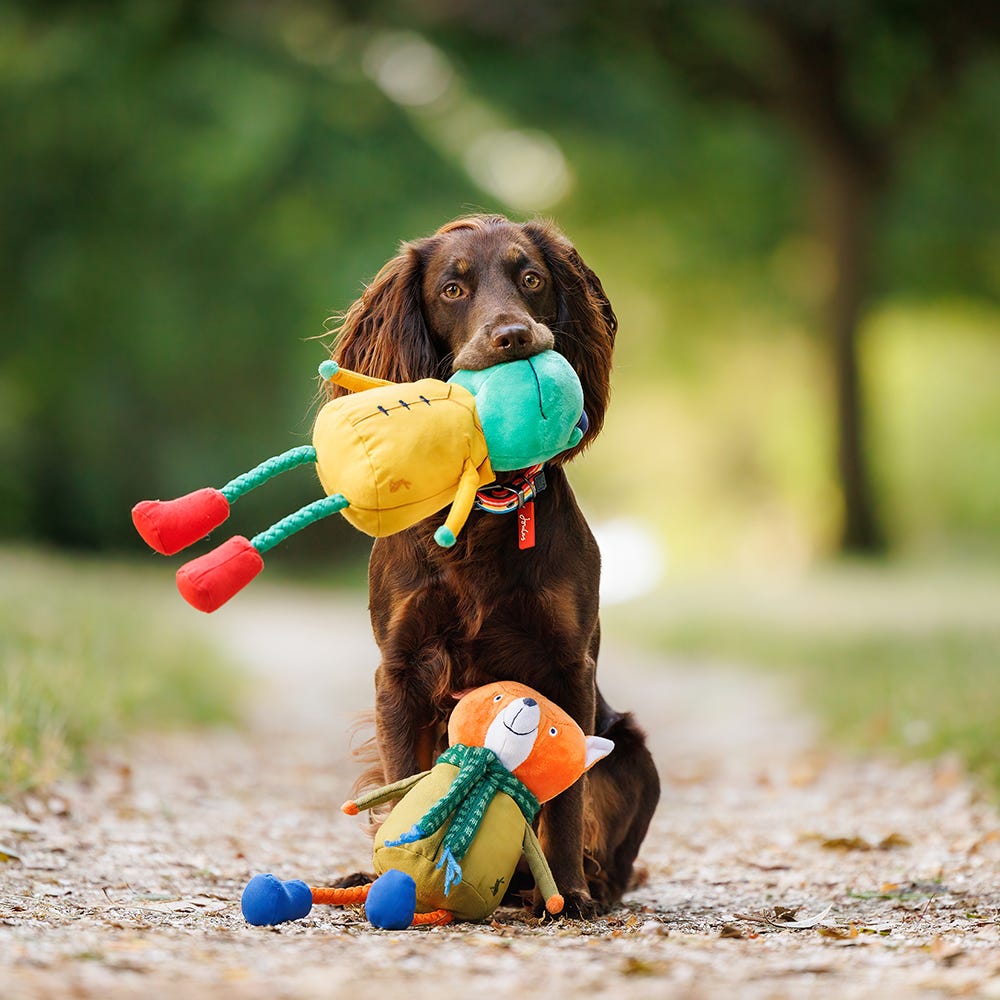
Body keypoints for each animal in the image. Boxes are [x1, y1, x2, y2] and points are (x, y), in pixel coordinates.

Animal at [332, 215, 660, 916]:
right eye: (452, 289)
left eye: (531, 278)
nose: (512, 336)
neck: (485, 506)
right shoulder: (400, 670)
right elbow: (402, 786)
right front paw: (393, 883)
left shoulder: (569, 666)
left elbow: (566, 801)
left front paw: (567, 892)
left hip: (635, 756)